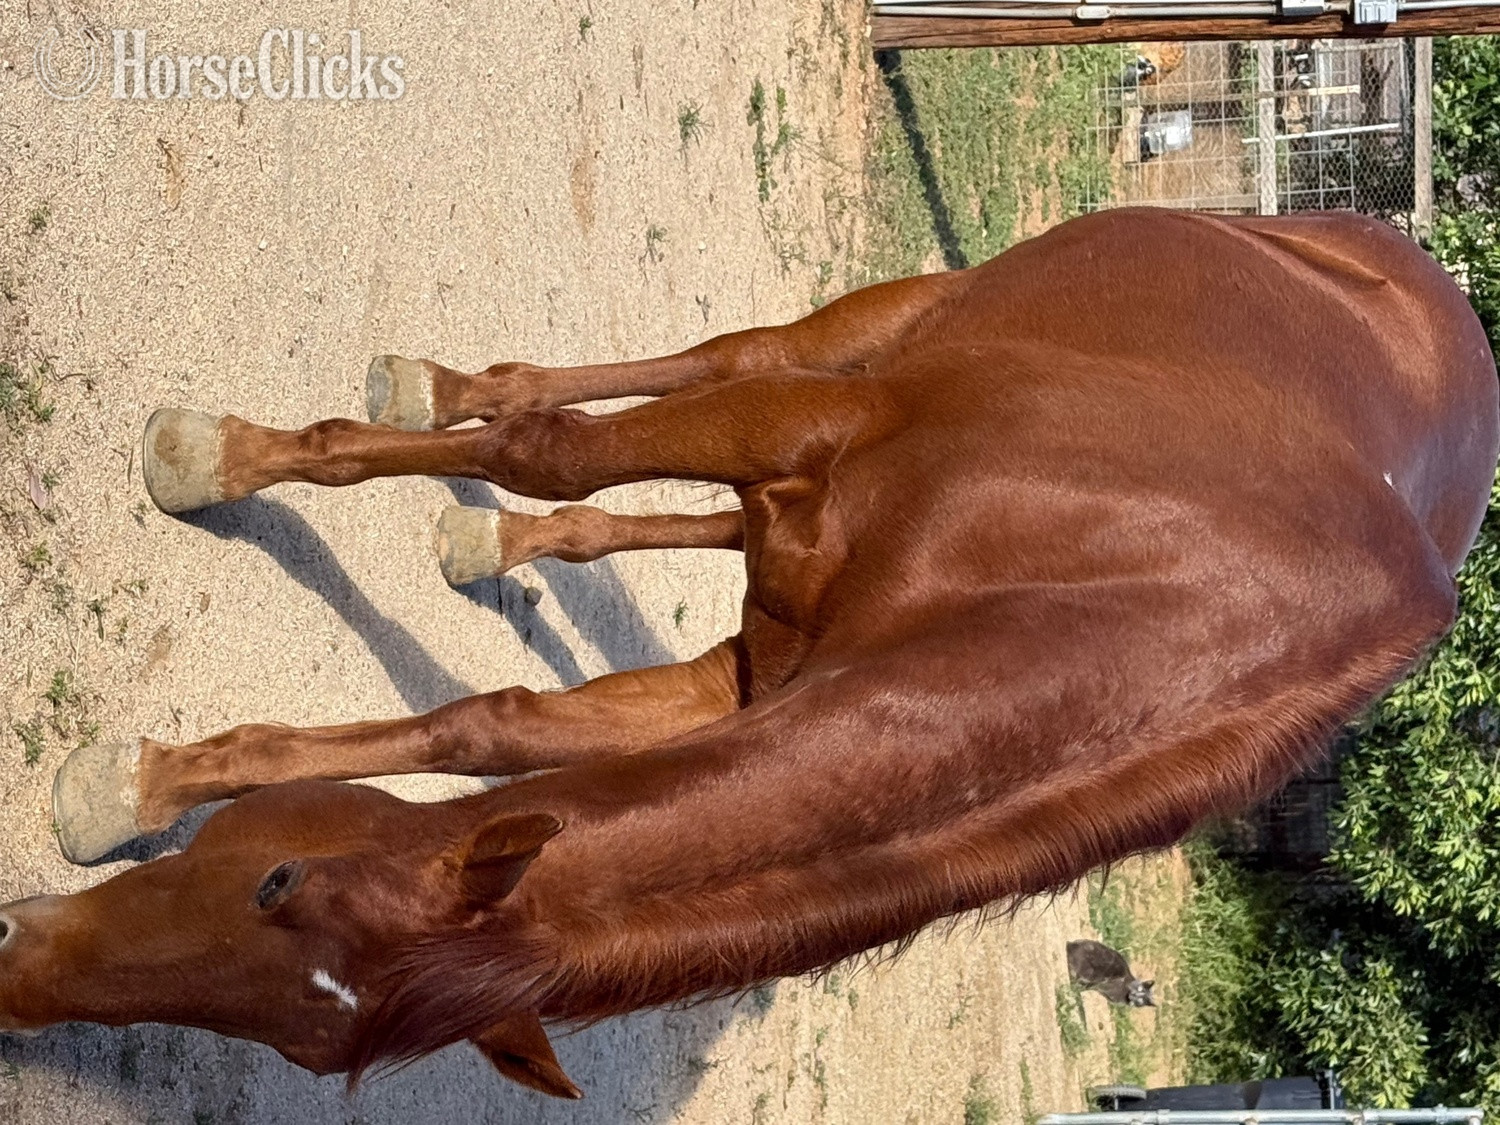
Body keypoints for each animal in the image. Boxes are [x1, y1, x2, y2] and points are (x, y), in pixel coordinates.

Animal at [1, 208, 1494, 1097]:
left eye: (280, 884)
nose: (19, 974)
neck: (1138, 582)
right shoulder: (812, 427)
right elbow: (543, 455)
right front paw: (216, 465)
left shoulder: (758, 680)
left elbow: (495, 724)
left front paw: (141, 781)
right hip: (879, 327)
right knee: (708, 361)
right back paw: (436, 397)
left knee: (670, 495)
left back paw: (493, 540)